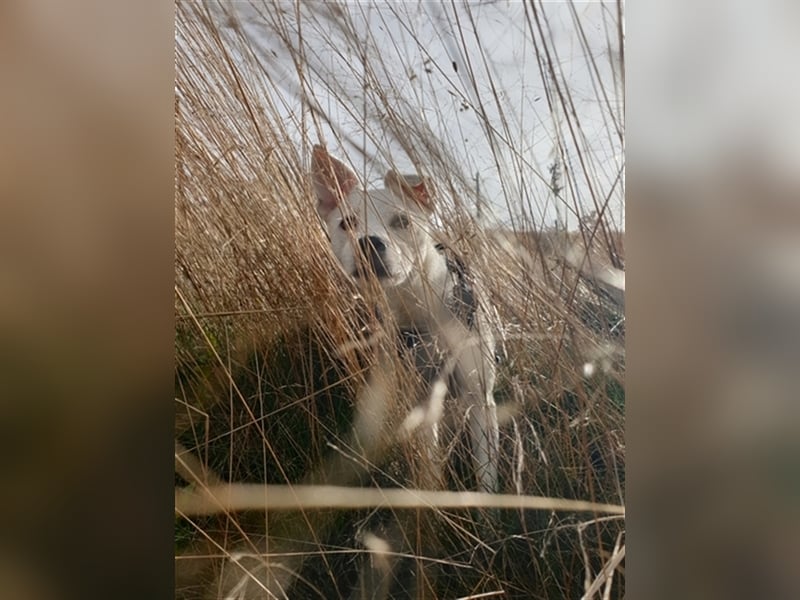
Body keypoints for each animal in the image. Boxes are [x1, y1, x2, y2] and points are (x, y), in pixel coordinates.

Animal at [312, 144, 500, 492]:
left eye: (402, 221)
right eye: (347, 223)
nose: (368, 243)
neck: (416, 304)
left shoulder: (480, 397)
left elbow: (486, 472)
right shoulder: (422, 399)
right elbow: (429, 464)